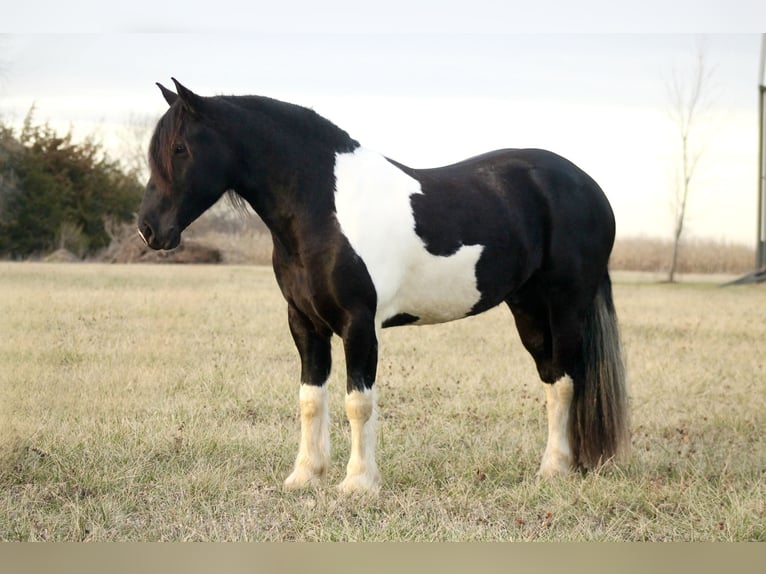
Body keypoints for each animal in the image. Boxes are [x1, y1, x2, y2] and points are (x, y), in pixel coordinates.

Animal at [138, 79, 632, 498]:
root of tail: (588, 187)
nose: (148, 229)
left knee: (567, 381)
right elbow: (310, 399)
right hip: (527, 309)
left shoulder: (359, 324)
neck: (324, 208)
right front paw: (305, 475)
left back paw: (554, 469)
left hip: (565, 306)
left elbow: (358, 402)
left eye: (180, 148)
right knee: (551, 378)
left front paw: (358, 484)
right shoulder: (304, 323)